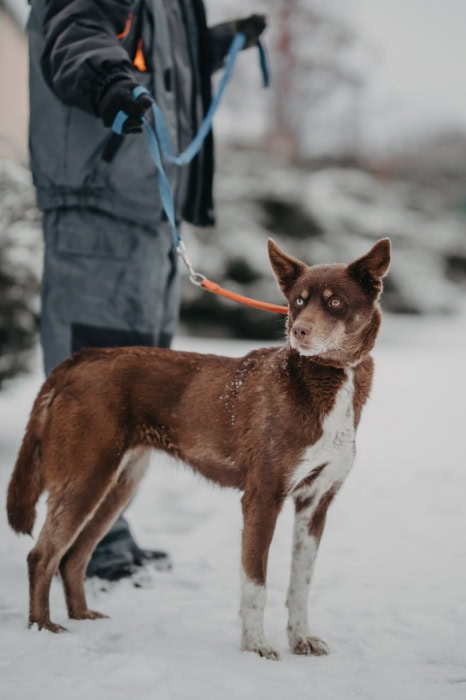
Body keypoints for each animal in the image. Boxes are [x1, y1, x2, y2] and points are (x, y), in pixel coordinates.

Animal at [5, 238, 390, 660]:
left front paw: (300, 639)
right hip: (85, 478)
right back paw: (43, 627)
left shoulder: (316, 502)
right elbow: (256, 585)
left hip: (117, 486)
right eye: (298, 301)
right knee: (42, 556)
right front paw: (255, 646)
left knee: (73, 558)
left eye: (335, 302)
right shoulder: (263, 498)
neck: (325, 379)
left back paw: (83, 616)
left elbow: (300, 583)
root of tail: (77, 361)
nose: (298, 332)